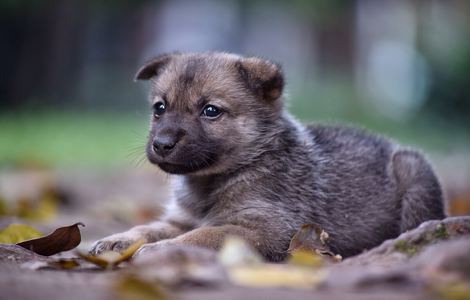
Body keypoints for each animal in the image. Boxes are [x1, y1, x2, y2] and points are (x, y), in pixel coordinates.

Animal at [90, 52, 446, 262]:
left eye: (210, 111)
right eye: (159, 108)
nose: (162, 144)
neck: (212, 182)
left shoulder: (267, 230)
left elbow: (205, 235)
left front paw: (161, 250)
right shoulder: (179, 218)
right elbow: (148, 227)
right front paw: (117, 240)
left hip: (413, 171)